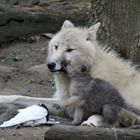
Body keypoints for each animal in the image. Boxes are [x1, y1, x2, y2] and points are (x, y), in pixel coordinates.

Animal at [0, 19, 140, 124]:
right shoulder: (63, 102)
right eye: (56, 47)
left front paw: (91, 122)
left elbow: (105, 112)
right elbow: (20, 97)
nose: (50, 65)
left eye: (70, 50)